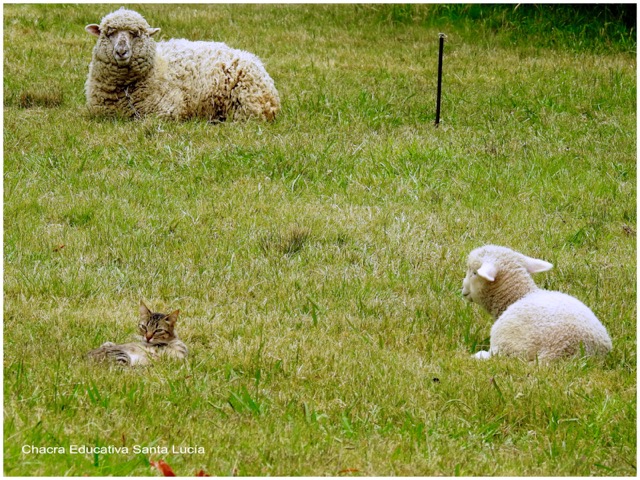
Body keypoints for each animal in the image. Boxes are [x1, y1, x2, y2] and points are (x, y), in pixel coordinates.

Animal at [84, 7, 280, 122]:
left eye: (136, 34)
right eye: (109, 33)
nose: (121, 51)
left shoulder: (165, 111)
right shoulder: (101, 114)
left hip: (249, 105)